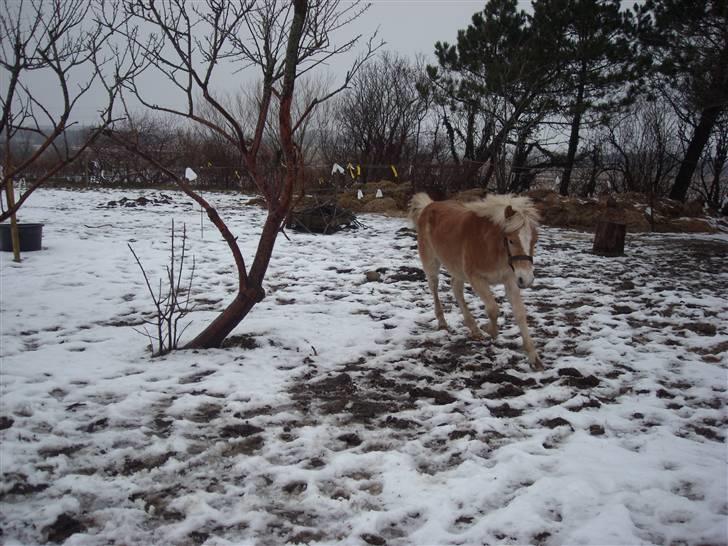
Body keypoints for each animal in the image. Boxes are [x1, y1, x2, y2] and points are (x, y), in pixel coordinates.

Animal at [406, 191, 544, 370]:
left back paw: (474, 329)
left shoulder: (510, 280)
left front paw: (534, 357)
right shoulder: (476, 278)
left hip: (457, 268)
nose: (526, 280)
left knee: (456, 289)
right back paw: (443, 323)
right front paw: (489, 329)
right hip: (431, 263)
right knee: (434, 287)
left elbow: (520, 313)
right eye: (511, 240)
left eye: (535, 240)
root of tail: (429, 205)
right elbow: (493, 309)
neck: (490, 245)